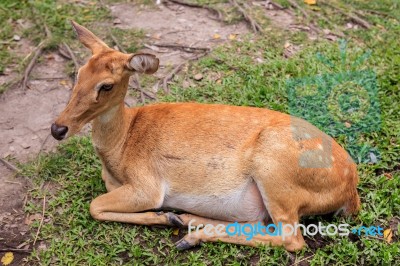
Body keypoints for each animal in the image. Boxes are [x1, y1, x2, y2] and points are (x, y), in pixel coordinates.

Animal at [50, 21, 360, 251]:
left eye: (107, 85)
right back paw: (185, 220)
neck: (120, 147)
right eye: (78, 72)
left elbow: (94, 205)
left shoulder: (147, 185)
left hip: (274, 169)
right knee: (260, 223)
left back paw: (188, 235)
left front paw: (160, 216)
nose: (57, 128)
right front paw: (168, 217)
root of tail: (350, 190)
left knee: (291, 238)